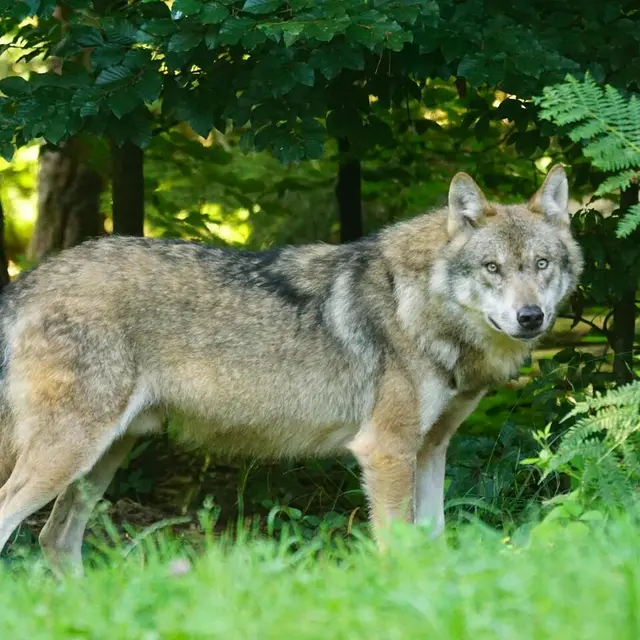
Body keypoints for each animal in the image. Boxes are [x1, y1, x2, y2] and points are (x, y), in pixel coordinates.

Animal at [0, 165, 582, 574]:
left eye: (541, 265)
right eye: (492, 268)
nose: (530, 316)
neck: (419, 305)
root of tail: (30, 279)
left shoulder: (432, 448)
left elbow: (433, 542)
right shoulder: (386, 451)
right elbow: (398, 548)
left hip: (102, 459)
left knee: (55, 540)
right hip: (70, 453)